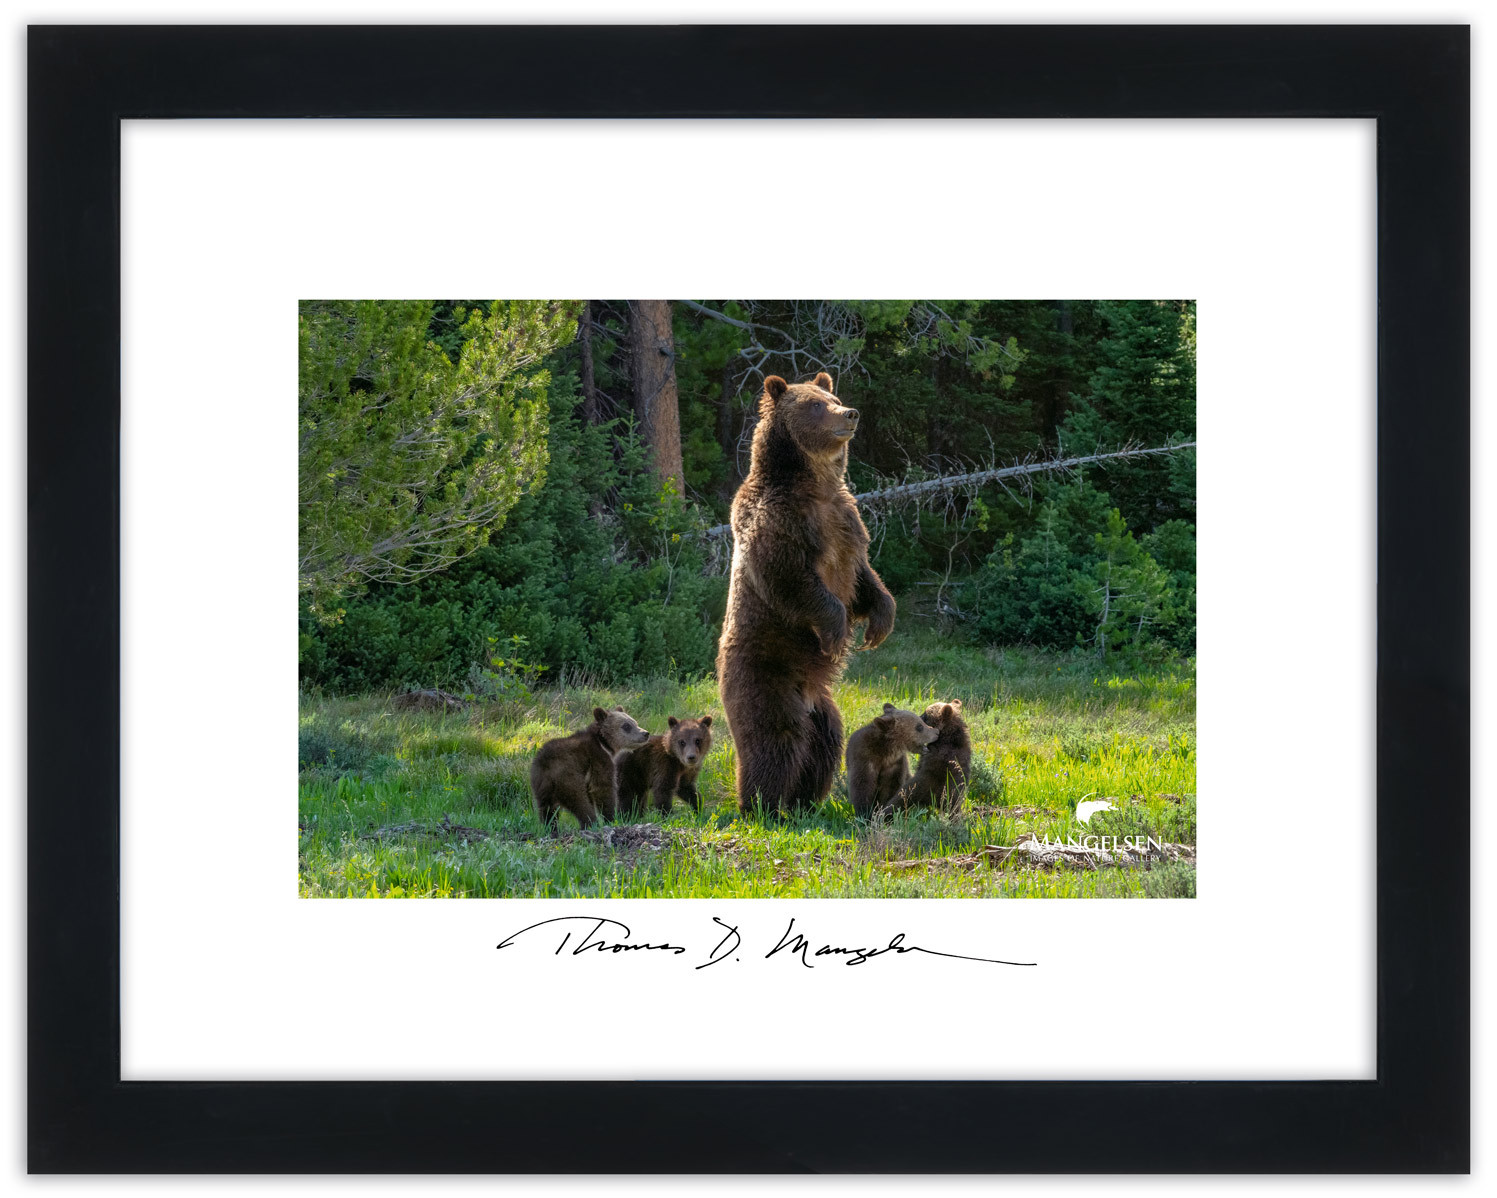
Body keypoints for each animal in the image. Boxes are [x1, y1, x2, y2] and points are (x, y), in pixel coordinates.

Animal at [715, 372, 896, 816]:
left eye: (834, 396)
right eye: (815, 405)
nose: (850, 413)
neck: (815, 483)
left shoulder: (847, 521)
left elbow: (865, 579)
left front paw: (879, 625)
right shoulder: (780, 521)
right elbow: (793, 579)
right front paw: (836, 632)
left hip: (823, 706)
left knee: (824, 742)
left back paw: (806, 801)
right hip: (765, 674)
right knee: (776, 739)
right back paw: (761, 805)